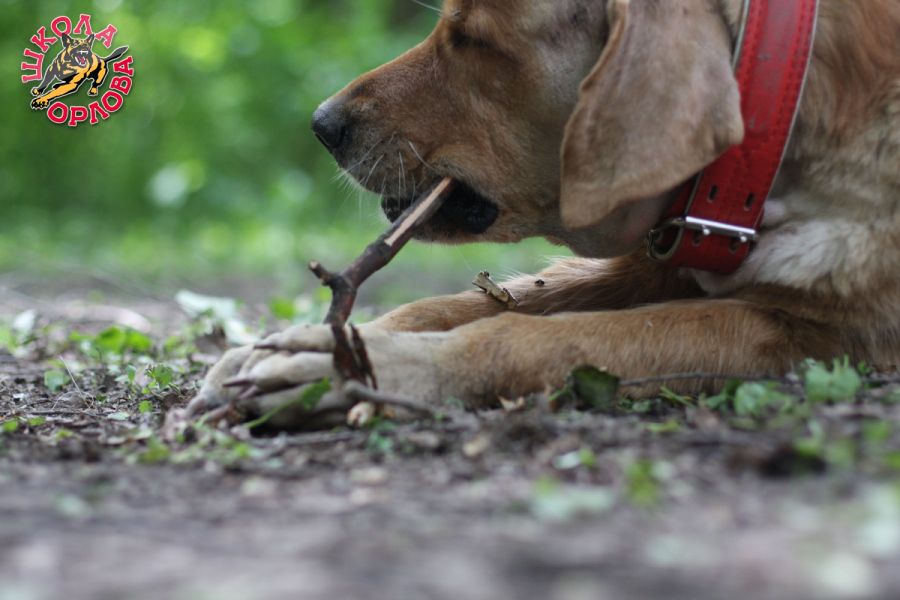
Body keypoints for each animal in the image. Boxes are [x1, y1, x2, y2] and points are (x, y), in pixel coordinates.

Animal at [194, 0, 900, 427]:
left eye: (471, 39)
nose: (322, 125)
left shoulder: (820, 331)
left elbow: (535, 338)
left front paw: (354, 370)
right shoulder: (646, 261)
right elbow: (455, 305)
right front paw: (293, 344)